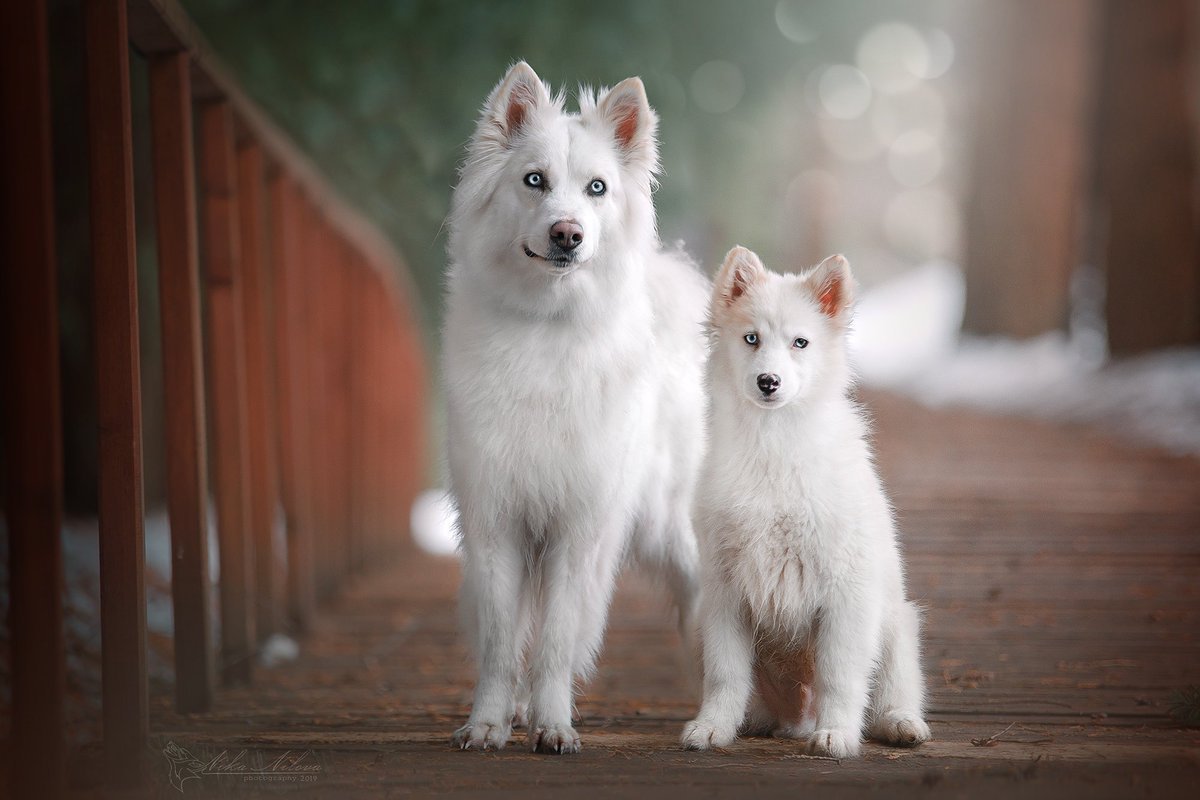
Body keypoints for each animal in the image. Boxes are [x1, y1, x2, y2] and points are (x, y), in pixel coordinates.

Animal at [448, 64, 710, 758]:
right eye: (534, 180)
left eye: (597, 189)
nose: (567, 234)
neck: (547, 328)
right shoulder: (498, 523)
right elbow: (501, 644)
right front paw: (490, 722)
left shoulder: (578, 532)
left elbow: (558, 641)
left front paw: (554, 725)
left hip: (677, 532)